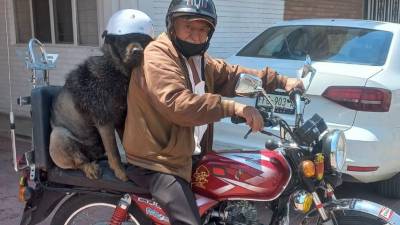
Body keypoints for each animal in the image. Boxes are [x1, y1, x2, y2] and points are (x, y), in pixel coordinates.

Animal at [48, 33, 152, 181]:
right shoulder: (104, 121)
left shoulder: (121, 121)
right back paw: (90, 168)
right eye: (122, 41)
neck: (115, 70)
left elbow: (124, 144)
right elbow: (114, 151)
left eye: (144, 41)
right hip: (58, 136)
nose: (137, 51)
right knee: (79, 161)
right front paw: (121, 172)